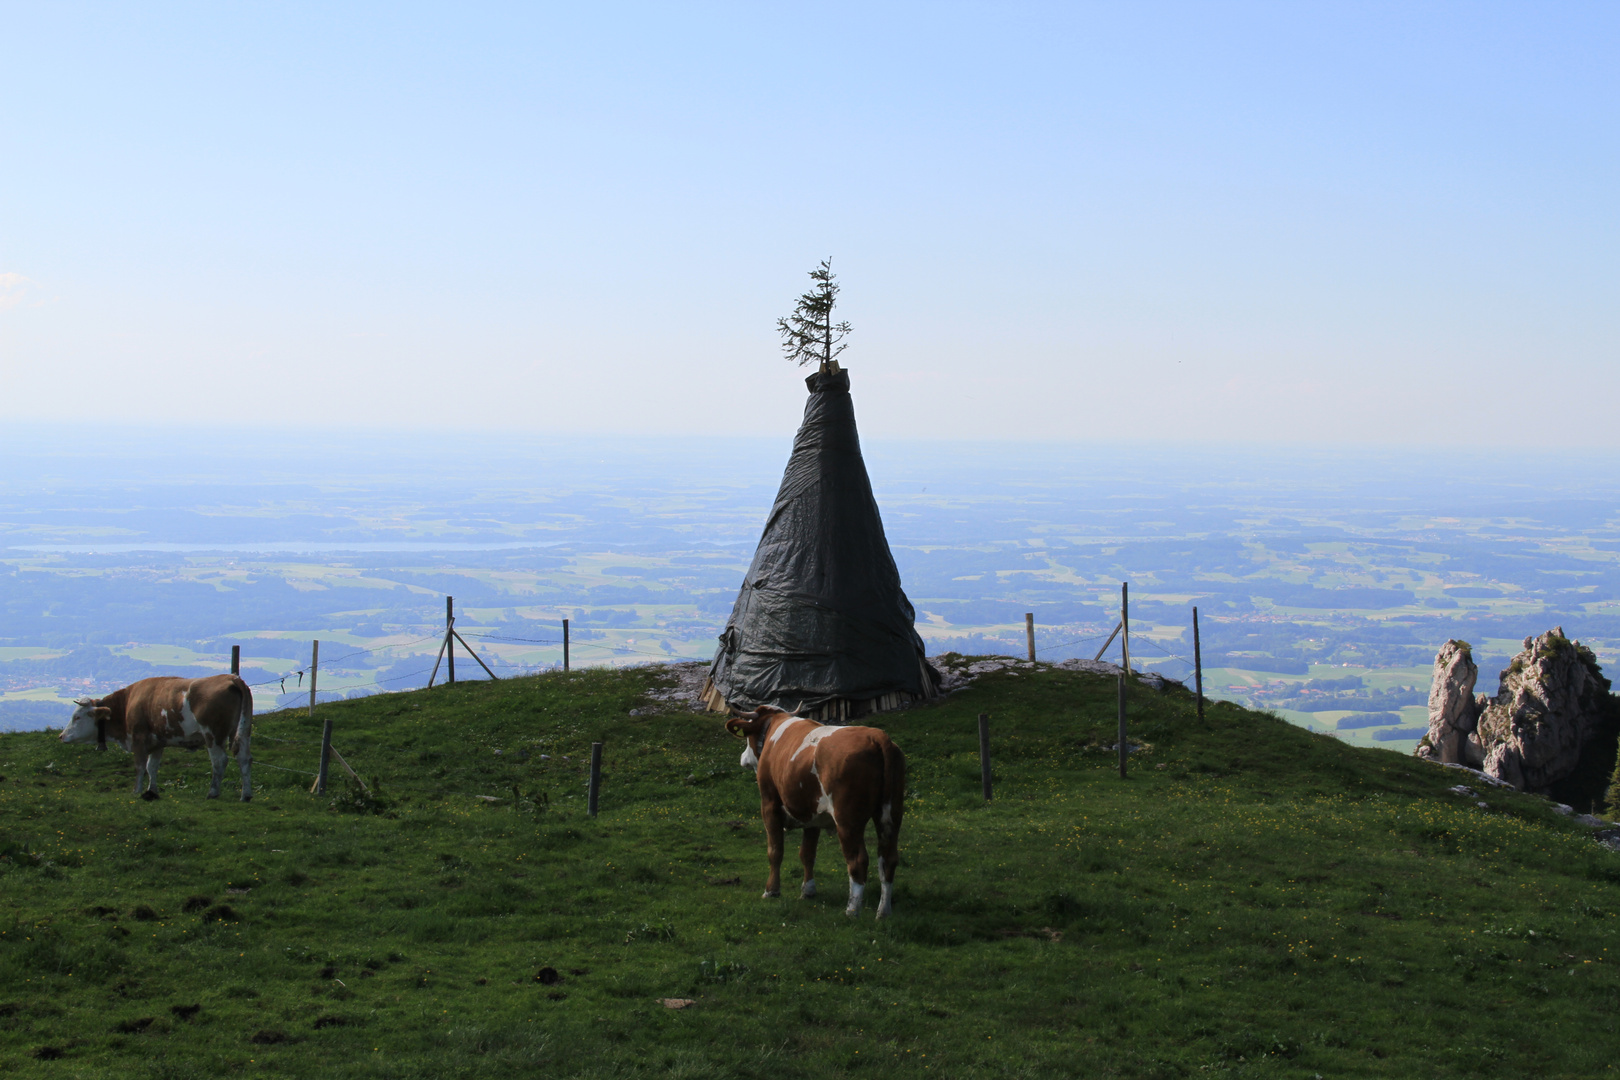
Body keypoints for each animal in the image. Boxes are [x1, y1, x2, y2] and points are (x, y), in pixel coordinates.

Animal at [59, 676, 252, 803]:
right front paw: (151, 791)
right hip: (242, 731)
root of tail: (231, 678)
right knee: (244, 758)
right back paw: (246, 795)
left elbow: (139, 766)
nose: (62, 736)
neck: (127, 703)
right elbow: (152, 767)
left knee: (220, 760)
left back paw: (213, 792)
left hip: (213, 734)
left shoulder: (139, 739)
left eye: (77, 717)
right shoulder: (158, 743)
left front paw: (136, 791)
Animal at [729, 709, 907, 919]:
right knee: (888, 859)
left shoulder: (769, 803)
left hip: (848, 821)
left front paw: (771, 890)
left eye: (748, 738)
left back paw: (852, 910)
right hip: (891, 815)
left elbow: (775, 851)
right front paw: (808, 890)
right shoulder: (812, 815)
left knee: (858, 860)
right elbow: (807, 854)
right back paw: (883, 912)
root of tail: (878, 736)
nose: (743, 758)